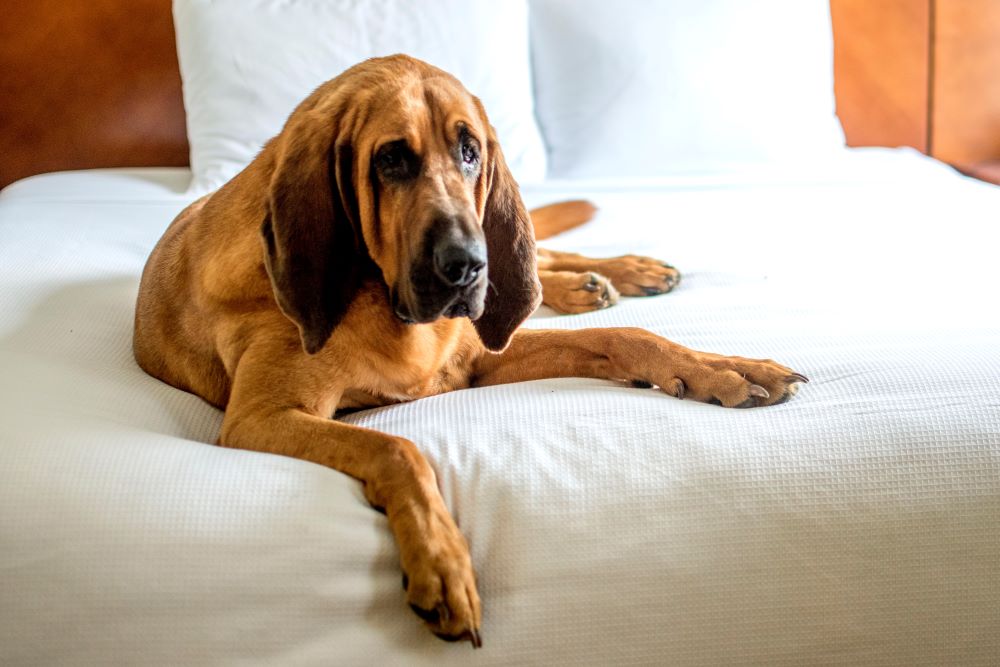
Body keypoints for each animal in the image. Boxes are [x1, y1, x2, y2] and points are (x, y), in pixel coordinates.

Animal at [133, 54, 808, 648]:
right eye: (391, 160)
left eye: (470, 150)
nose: (467, 266)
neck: (387, 306)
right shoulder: (260, 418)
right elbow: (399, 449)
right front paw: (443, 564)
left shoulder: (478, 355)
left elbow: (625, 337)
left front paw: (722, 368)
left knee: (544, 256)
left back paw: (617, 274)